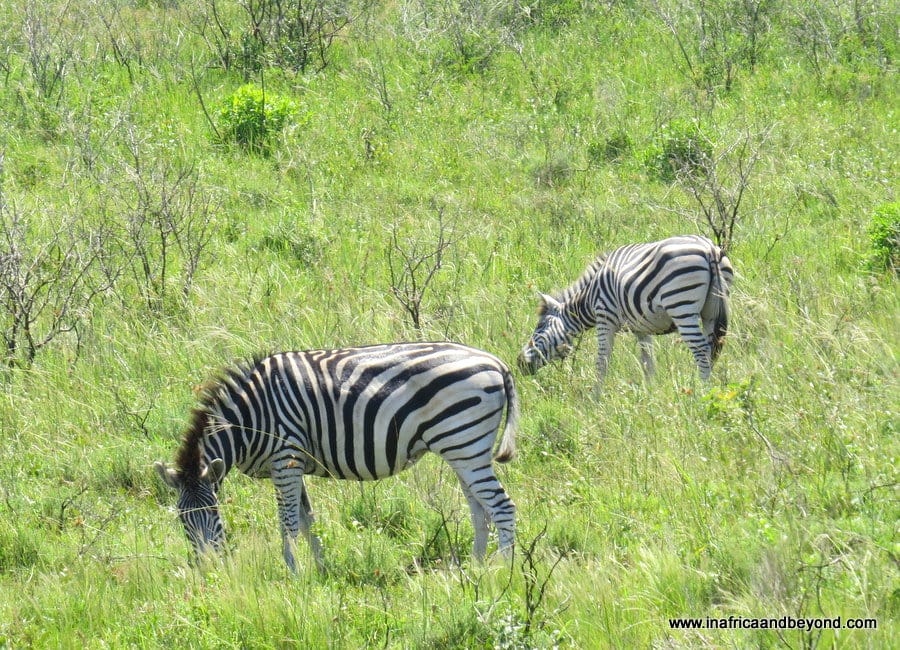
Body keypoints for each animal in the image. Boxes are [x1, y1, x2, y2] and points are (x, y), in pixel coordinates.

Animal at [155, 342, 518, 572]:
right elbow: (307, 520)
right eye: (182, 519)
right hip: (462, 448)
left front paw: (292, 574)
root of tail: (497, 363)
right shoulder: (292, 464)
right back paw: (475, 567)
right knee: (479, 510)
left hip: (464, 442)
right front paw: (320, 570)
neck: (251, 419)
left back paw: (504, 572)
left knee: (501, 506)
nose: (208, 570)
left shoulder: (285, 459)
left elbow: (289, 523)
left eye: (213, 513)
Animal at [518, 235, 733, 388]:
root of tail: (709, 249)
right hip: (711, 311)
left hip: (682, 306)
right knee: (711, 348)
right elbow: (647, 363)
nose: (519, 363)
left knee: (701, 350)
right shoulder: (642, 327)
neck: (589, 297)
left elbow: (602, 362)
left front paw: (594, 400)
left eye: (539, 327)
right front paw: (651, 395)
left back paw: (700, 393)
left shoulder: (605, 318)